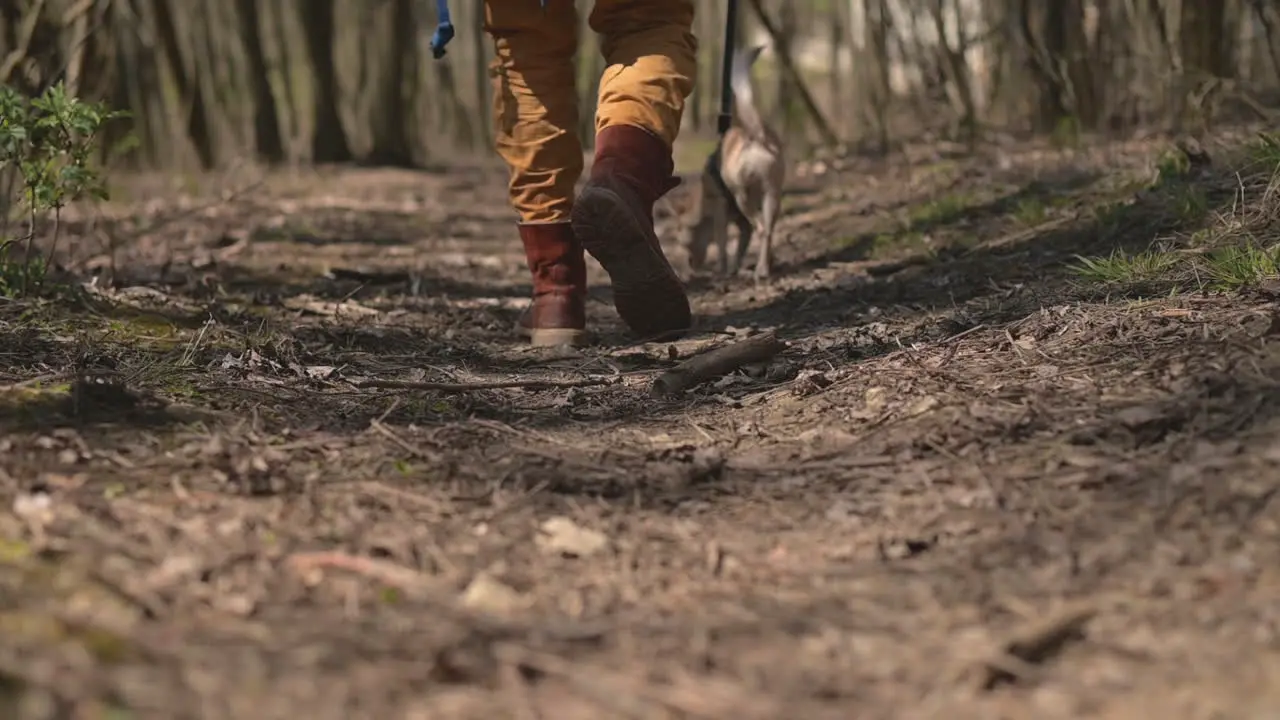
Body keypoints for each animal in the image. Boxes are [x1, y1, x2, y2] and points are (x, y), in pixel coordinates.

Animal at [686, 43, 783, 281]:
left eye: (686, 244)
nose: (690, 265)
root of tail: (756, 136)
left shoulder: (721, 213)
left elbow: (722, 245)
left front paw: (724, 269)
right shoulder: (740, 223)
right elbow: (741, 245)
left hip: (742, 196)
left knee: (760, 227)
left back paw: (759, 269)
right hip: (772, 193)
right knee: (767, 229)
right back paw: (763, 268)